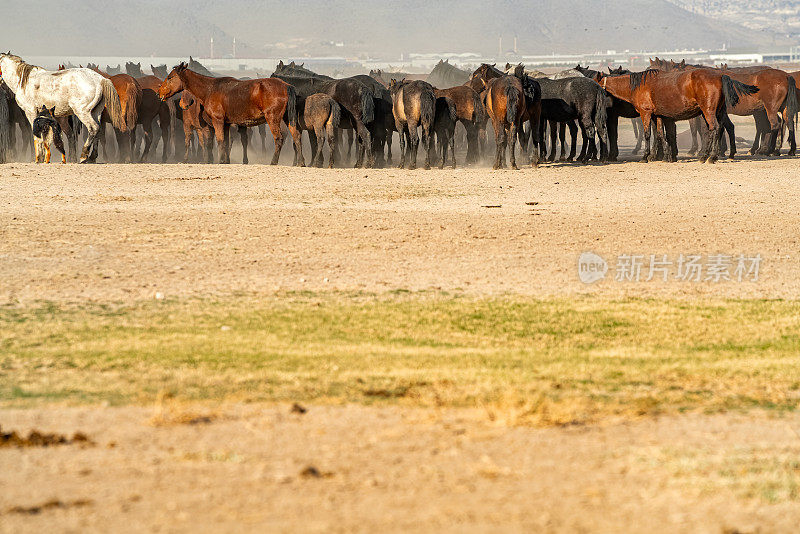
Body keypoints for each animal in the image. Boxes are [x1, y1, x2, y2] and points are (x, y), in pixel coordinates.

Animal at [159, 62, 304, 164]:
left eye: (170, 77)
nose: (160, 92)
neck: (210, 89)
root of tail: (286, 86)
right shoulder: (226, 124)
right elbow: (226, 142)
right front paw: (225, 161)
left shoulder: (218, 121)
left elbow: (220, 140)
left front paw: (220, 161)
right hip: (288, 118)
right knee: (296, 136)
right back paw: (301, 162)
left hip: (273, 118)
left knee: (279, 138)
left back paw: (273, 162)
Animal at [600, 70, 756, 164]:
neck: (638, 86)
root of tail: (720, 76)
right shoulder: (658, 116)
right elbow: (660, 134)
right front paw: (667, 156)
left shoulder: (646, 113)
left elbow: (647, 135)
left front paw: (645, 157)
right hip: (715, 112)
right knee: (715, 130)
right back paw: (706, 155)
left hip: (708, 112)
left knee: (715, 129)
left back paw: (711, 157)